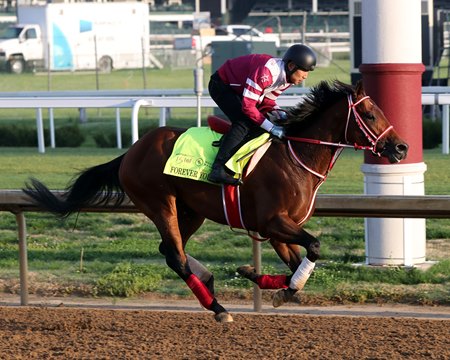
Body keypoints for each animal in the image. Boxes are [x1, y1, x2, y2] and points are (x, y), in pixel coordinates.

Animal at [23, 81, 408, 324]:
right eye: (370, 115)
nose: (401, 147)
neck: (296, 155)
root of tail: (131, 151)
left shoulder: (277, 229)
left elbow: (297, 264)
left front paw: (262, 279)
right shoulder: (273, 222)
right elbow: (312, 247)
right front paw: (274, 285)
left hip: (192, 211)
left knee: (169, 250)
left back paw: (208, 279)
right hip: (160, 202)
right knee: (175, 255)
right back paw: (218, 307)